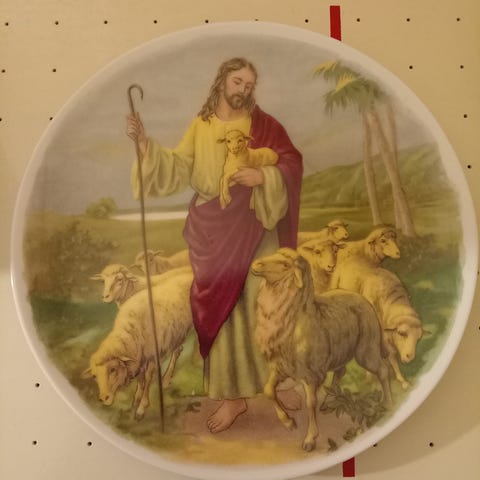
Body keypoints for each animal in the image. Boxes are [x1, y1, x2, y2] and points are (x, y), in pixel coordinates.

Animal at [81, 269, 193, 419]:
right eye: (94, 376)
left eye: (113, 369)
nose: (104, 398)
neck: (131, 333)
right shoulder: (140, 358)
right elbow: (141, 378)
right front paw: (136, 398)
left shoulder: (152, 357)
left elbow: (148, 378)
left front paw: (142, 407)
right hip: (178, 330)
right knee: (178, 350)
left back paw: (166, 379)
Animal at [251, 248, 392, 452]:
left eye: (285, 265)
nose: (256, 264)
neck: (297, 319)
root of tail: (363, 300)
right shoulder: (281, 367)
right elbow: (268, 390)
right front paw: (288, 422)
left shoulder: (309, 374)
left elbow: (310, 403)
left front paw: (310, 438)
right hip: (340, 351)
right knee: (341, 371)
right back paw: (329, 401)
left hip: (366, 349)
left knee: (382, 370)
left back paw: (388, 405)